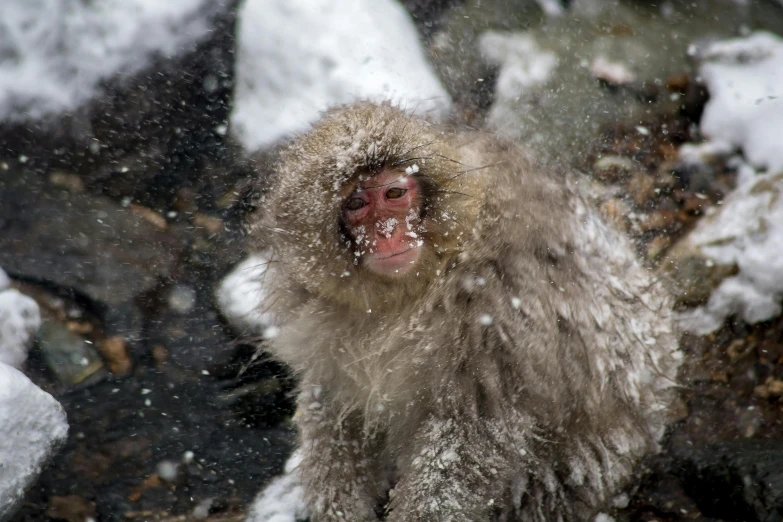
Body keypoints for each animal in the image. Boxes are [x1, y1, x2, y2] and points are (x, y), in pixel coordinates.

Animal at [251, 102, 680, 520]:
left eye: (394, 194)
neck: (416, 286)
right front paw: (339, 509)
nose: (388, 233)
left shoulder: (498, 305)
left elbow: (473, 432)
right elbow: (334, 404)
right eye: (357, 203)